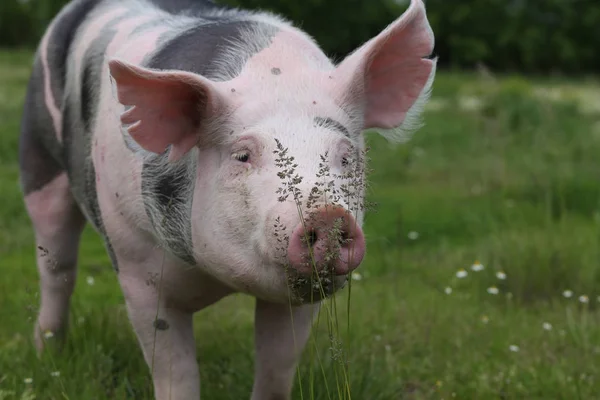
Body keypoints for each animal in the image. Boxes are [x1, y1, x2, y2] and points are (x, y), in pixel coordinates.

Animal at [16, 0, 434, 398]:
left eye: (345, 156)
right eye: (243, 155)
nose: (328, 214)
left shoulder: (307, 291)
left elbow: (276, 370)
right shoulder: (137, 267)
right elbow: (176, 374)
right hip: (40, 161)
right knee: (56, 267)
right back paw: (47, 352)